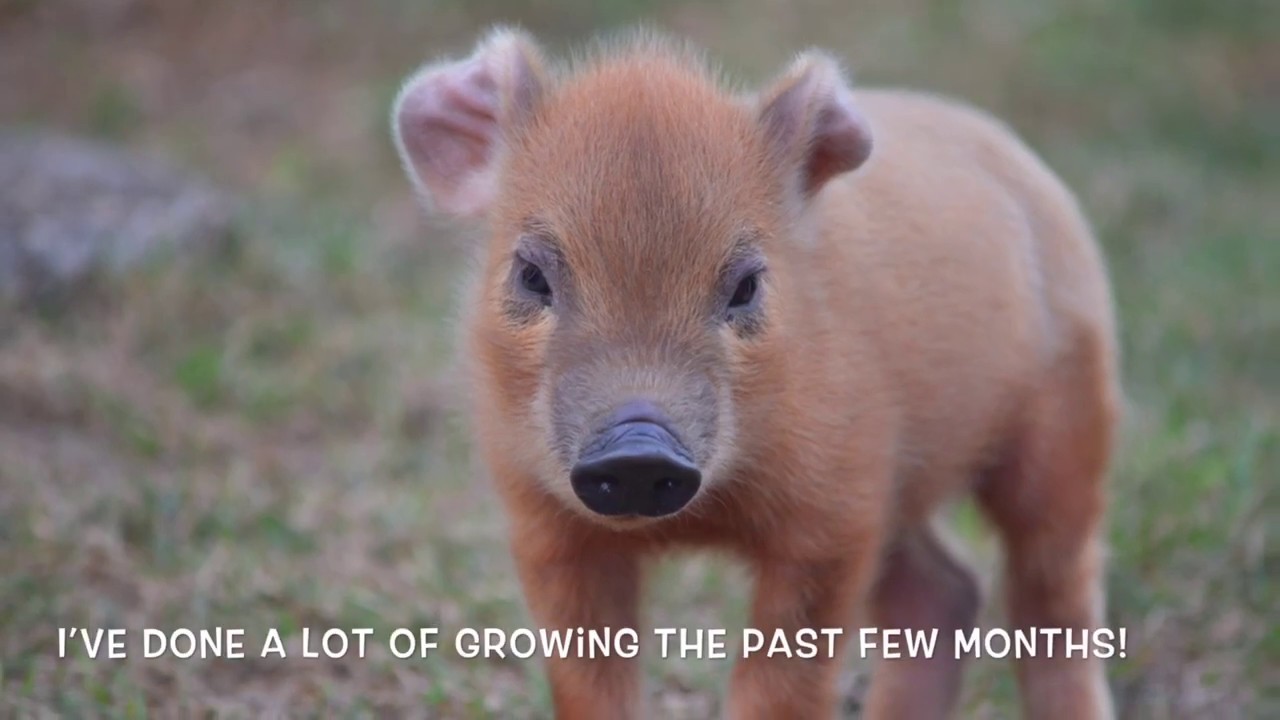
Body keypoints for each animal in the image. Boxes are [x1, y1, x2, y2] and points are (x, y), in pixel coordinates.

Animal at [391, 27, 1121, 720]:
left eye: (745, 285)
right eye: (531, 274)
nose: (637, 445)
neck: (705, 520)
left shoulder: (835, 512)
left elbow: (778, 685)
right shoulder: (542, 521)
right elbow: (589, 683)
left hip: (1068, 416)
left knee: (1053, 594)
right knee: (942, 590)